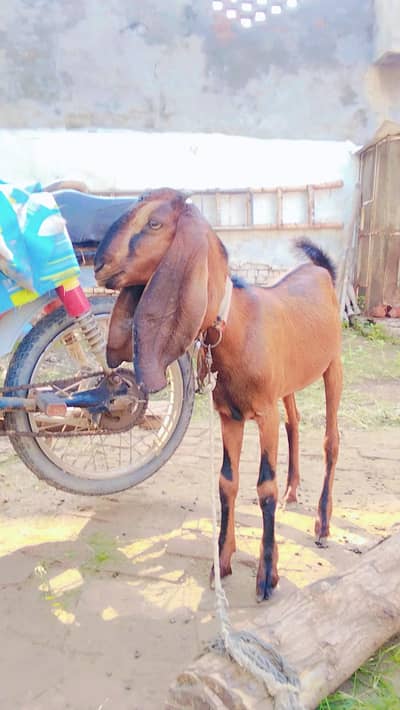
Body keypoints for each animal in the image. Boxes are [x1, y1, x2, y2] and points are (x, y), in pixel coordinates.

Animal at [94, 188, 342, 601]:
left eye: (155, 222)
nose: (99, 263)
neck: (238, 324)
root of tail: (321, 270)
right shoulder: (230, 415)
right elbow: (227, 481)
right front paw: (222, 561)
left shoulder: (264, 413)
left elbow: (265, 486)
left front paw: (267, 575)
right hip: (289, 383)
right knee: (295, 421)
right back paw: (294, 489)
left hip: (333, 365)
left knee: (330, 439)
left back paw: (323, 524)